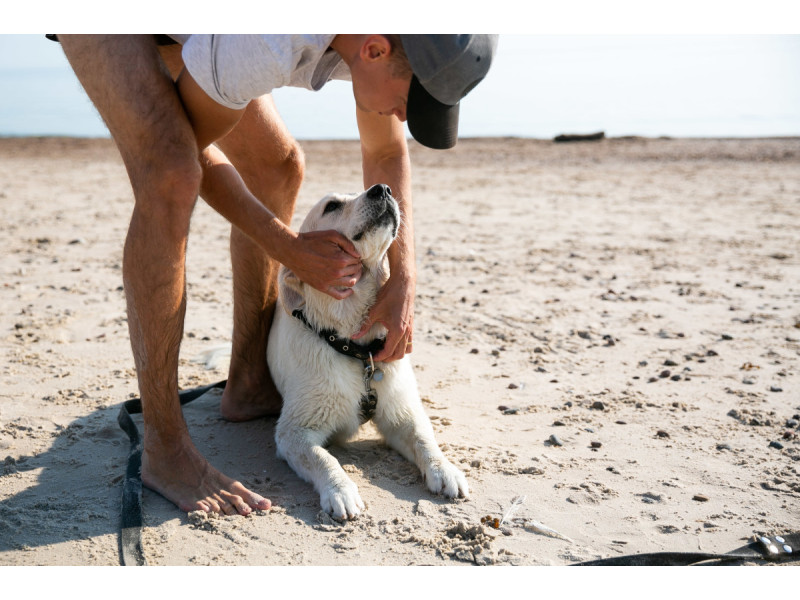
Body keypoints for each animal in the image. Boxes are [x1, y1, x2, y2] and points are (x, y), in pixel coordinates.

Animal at [268, 184, 468, 520]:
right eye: (332, 206)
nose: (382, 189)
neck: (355, 350)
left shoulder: (401, 412)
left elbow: (424, 438)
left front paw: (445, 470)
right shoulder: (294, 431)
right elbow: (323, 458)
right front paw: (341, 491)